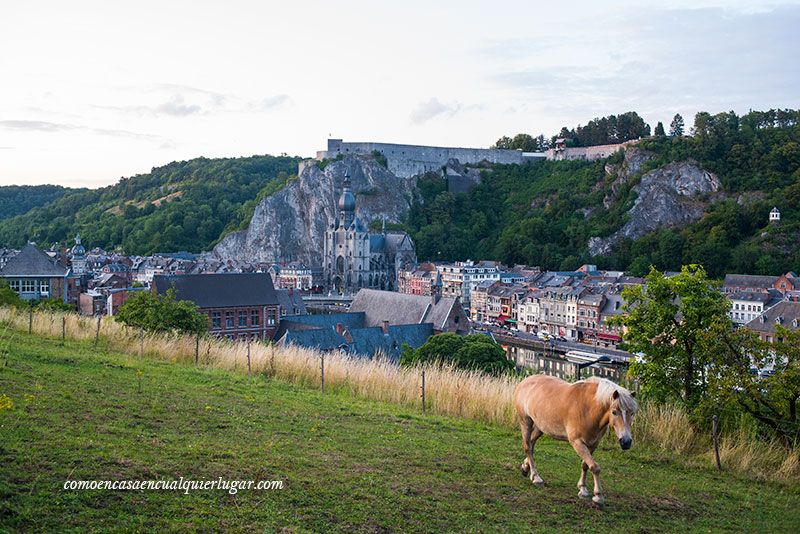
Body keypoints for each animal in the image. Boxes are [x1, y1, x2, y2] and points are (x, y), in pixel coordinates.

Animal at [512, 374, 636, 508]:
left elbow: (585, 465)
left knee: (531, 444)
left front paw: (582, 489)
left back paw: (525, 468)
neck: (588, 408)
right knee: (527, 447)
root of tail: (525, 380)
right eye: (614, 412)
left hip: (540, 427)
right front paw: (598, 497)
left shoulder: (593, 444)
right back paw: (536, 477)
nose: (626, 442)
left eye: (632, 413)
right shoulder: (577, 443)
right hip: (526, 422)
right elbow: (595, 467)